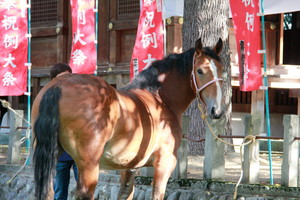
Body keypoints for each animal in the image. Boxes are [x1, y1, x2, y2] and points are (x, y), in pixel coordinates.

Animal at [31, 38, 224, 200]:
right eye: (200, 71)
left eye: (222, 70)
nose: (216, 110)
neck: (160, 98)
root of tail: (59, 84)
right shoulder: (165, 162)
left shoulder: (129, 166)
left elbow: (125, 193)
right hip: (89, 165)